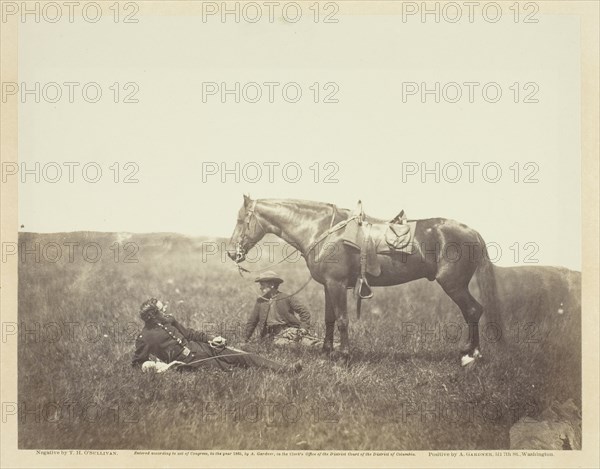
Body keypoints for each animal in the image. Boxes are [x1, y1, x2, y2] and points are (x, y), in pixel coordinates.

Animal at [227, 196, 500, 364]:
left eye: (241, 220)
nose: (231, 253)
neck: (323, 230)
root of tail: (471, 231)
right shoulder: (328, 285)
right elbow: (329, 319)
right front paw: (327, 352)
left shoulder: (337, 284)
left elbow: (343, 320)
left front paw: (344, 356)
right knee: (474, 311)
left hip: (453, 284)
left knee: (473, 310)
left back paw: (471, 355)